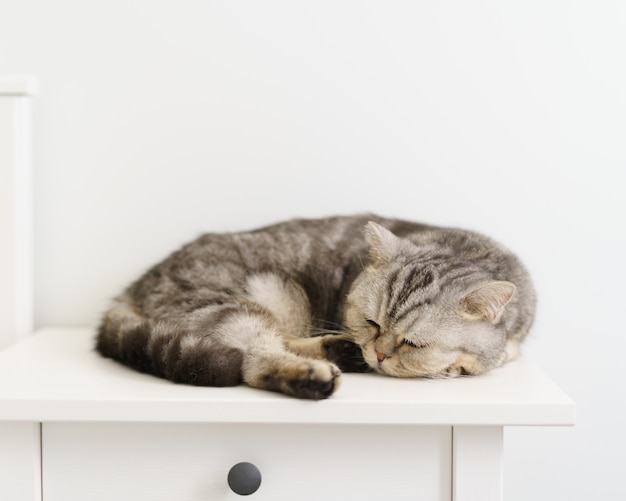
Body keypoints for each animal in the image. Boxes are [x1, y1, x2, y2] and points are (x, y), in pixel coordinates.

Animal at [95, 214, 532, 398]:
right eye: (372, 323)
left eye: (413, 343)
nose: (379, 354)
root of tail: (132, 288)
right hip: (247, 299)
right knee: (254, 359)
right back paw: (315, 372)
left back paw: (339, 350)